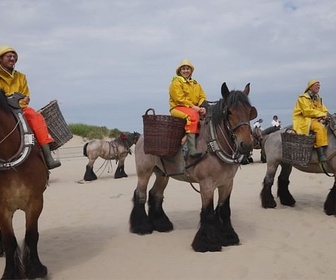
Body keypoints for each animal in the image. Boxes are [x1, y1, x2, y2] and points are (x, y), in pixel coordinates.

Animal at [0, 89, 49, 278]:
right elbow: (9, 240)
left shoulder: (35, 202)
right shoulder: (2, 208)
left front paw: (36, 269)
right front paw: (10, 273)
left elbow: (31, 236)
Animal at [129, 82, 258, 253]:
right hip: (144, 172)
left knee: (155, 194)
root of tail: (141, 137)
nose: (247, 145)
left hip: (163, 174)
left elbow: (224, 210)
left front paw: (229, 237)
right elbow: (208, 212)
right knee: (141, 194)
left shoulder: (227, 183)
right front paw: (207, 243)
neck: (213, 145)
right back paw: (142, 226)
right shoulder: (206, 185)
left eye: (250, 112)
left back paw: (161, 224)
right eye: (229, 112)